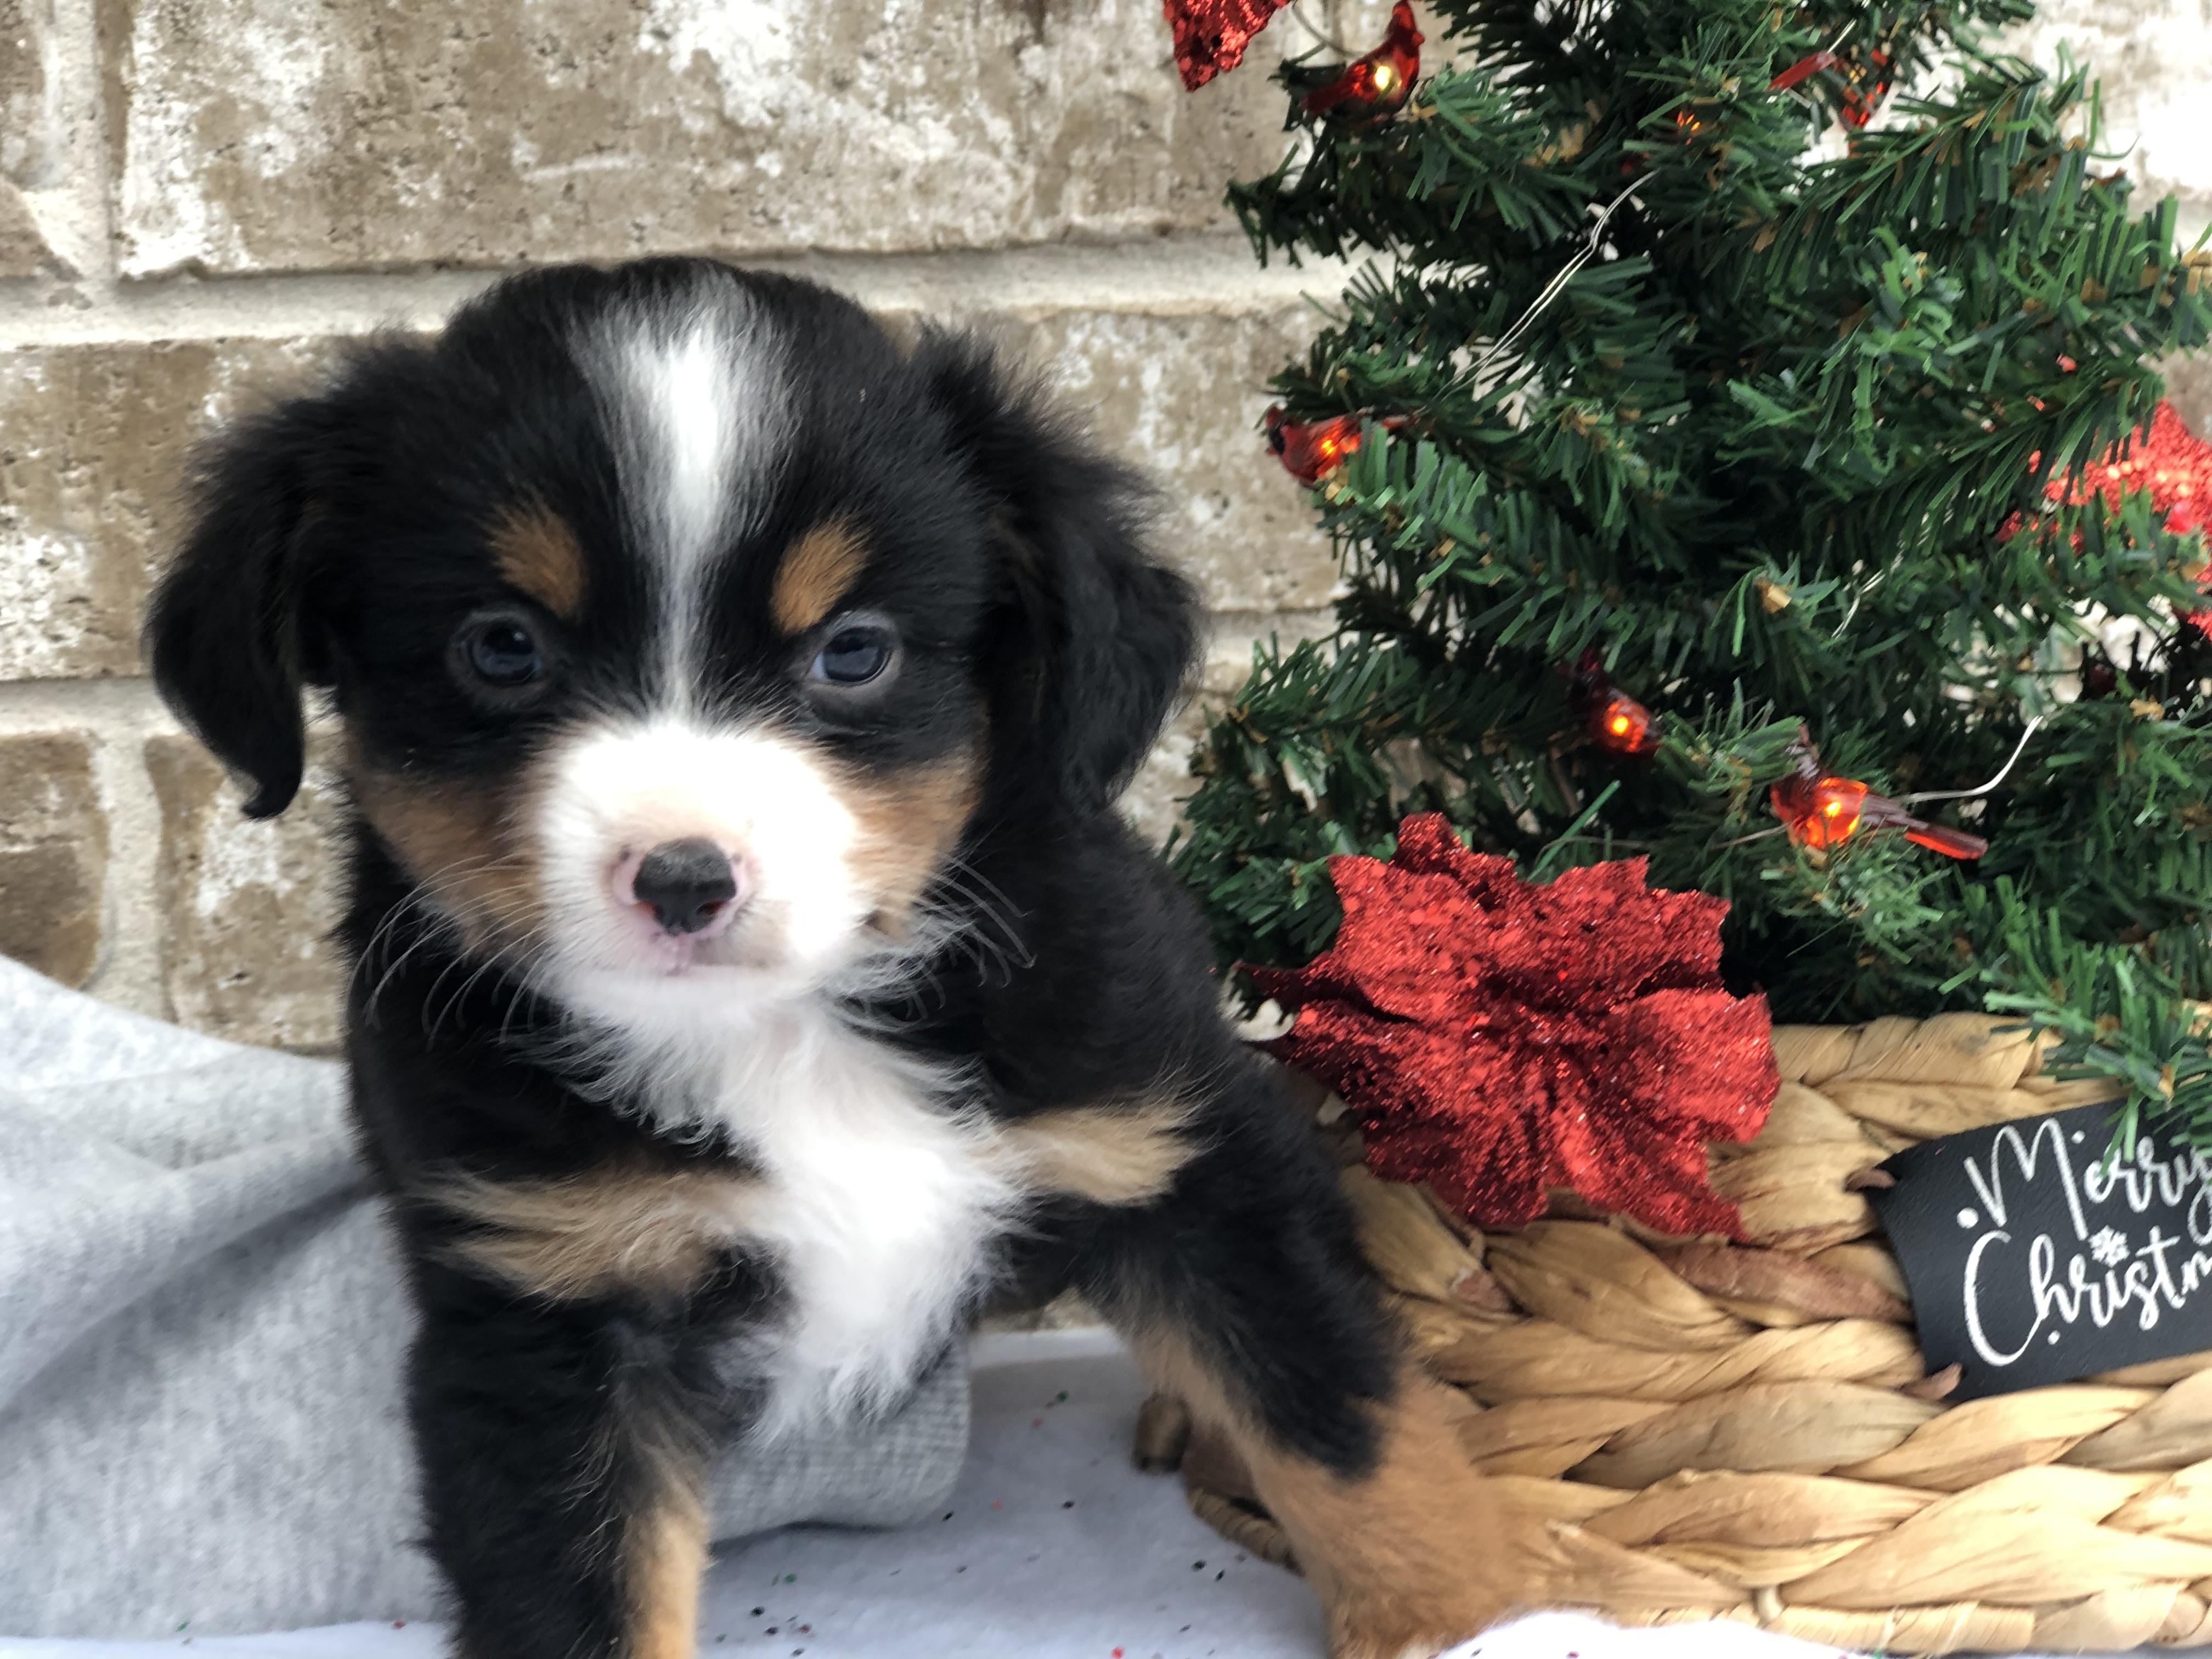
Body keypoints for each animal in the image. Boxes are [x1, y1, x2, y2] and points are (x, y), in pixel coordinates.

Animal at [146, 258, 1537, 1659]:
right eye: (501, 645)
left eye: (854, 650)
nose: (685, 879)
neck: (785, 1036)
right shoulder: (554, 1306)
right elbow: (584, 1600)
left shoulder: (1183, 1148)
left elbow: (1352, 1431)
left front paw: (1480, 1624)